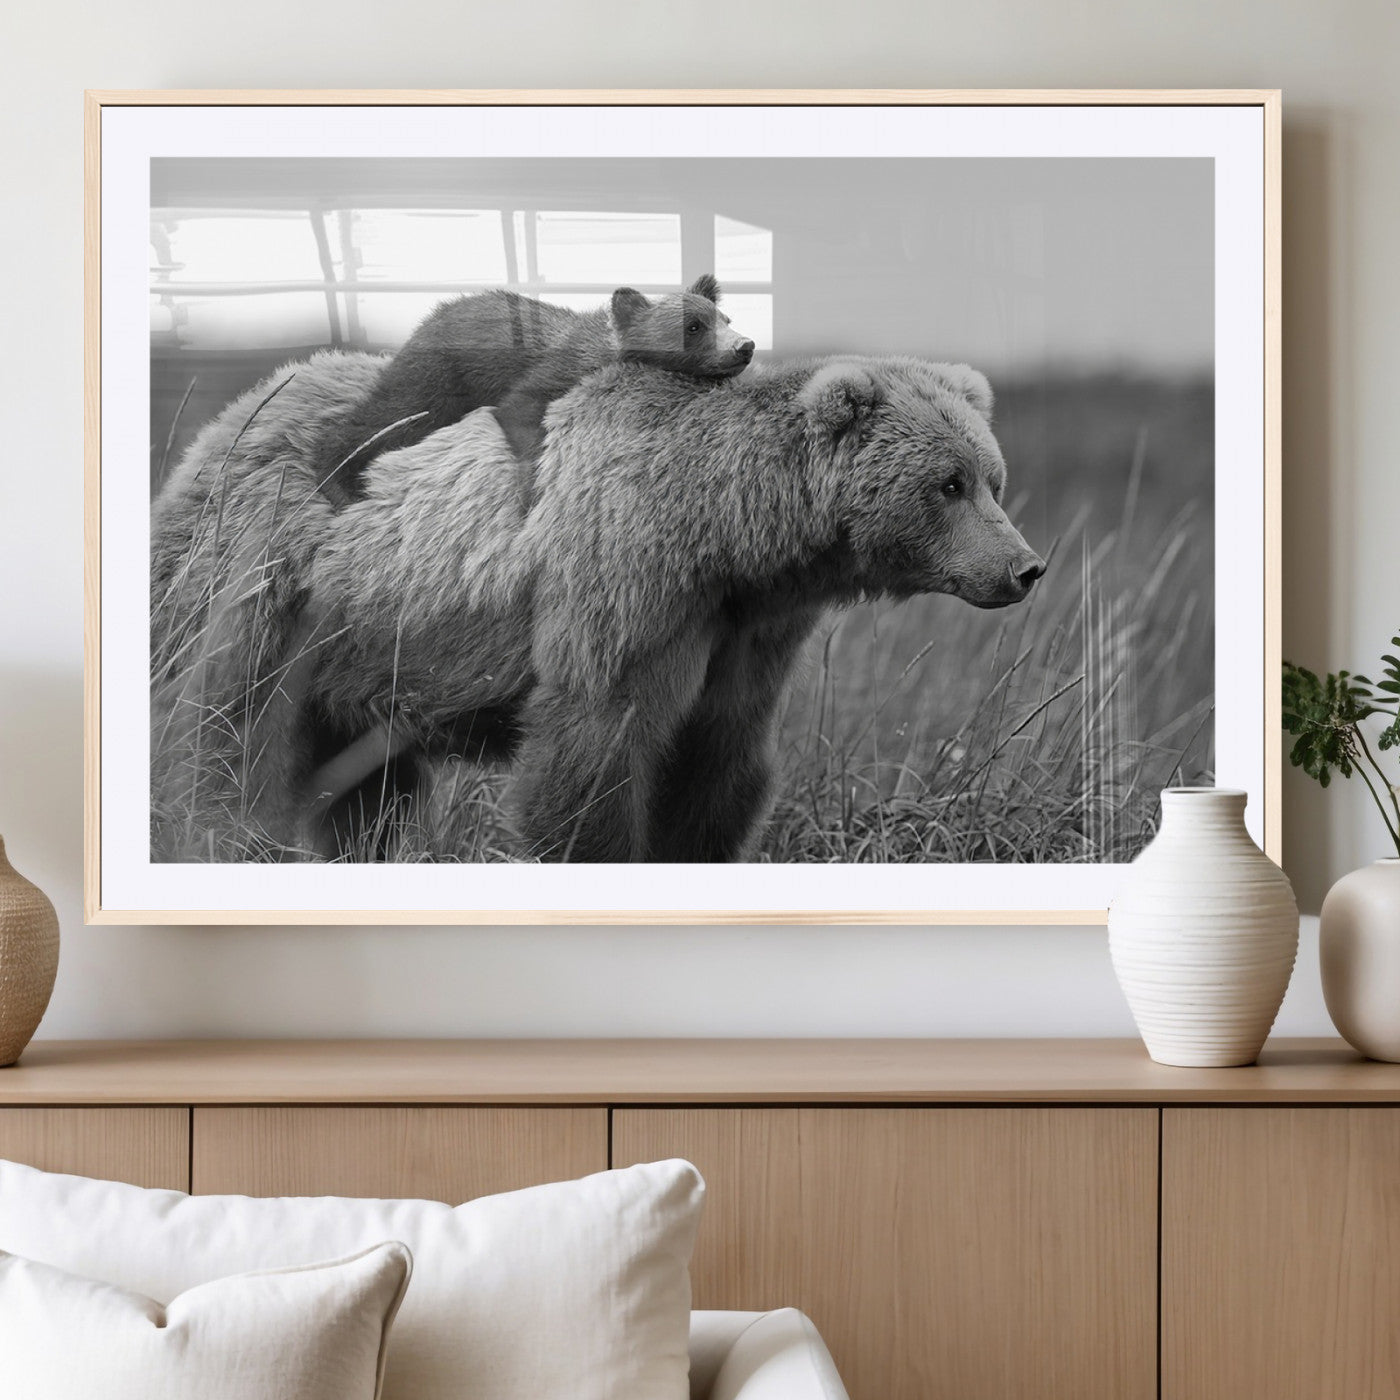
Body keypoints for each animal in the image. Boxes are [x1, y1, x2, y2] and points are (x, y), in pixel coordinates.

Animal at [149, 348, 1045, 864]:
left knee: (366, 787)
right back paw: (211, 834)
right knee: (222, 732)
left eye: (992, 478)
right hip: (266, 585)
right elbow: (594, 750)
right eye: (949, 484)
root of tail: (238, 411)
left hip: (367, 649)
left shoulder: (746, 633)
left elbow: (717, 763)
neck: (729, 536)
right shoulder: (626, 586)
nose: (1025, 567)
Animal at [311, 274, 754, 507]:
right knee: (385, 417)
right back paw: (339, 483)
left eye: (725, 317)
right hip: (435, 381)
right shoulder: (546, 375)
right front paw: (531, 491)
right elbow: (520, 412)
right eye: (693, 326)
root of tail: (427, 318)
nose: (745, 346)